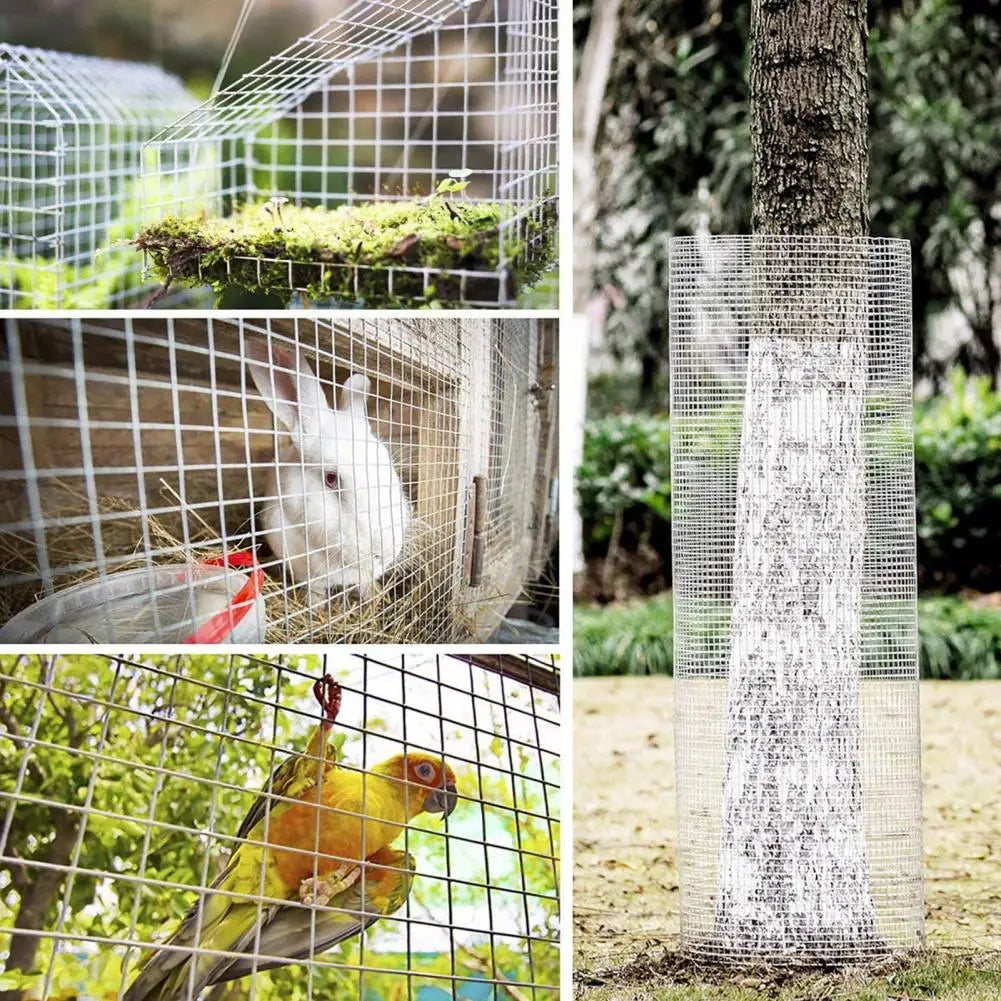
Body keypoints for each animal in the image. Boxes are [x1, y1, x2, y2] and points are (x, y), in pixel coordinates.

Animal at [245, 339, 412, 603]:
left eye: (388, 467)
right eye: (331, 479)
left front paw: (372, 594)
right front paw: (315, 606)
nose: (384, 552)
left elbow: (364, 582)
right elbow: (316, 592)